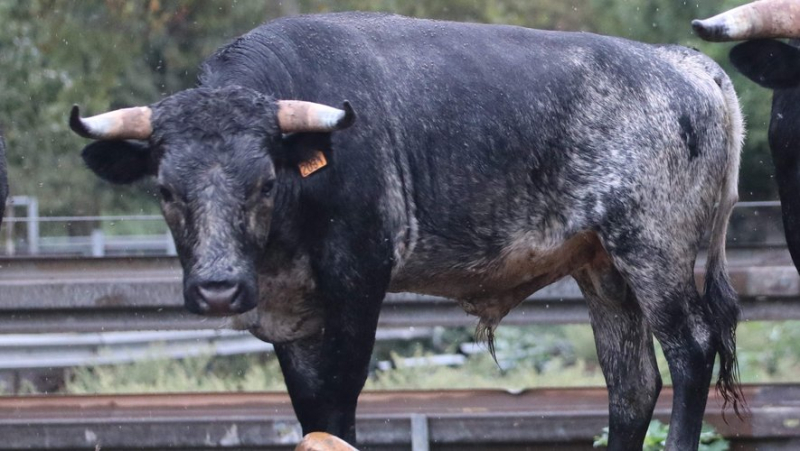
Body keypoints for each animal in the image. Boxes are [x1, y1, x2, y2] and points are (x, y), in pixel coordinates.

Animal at [70, 12, 744, 450]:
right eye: (165, 190)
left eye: (263, 183)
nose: (217, 290)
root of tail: (681, 62)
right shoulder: (292, 315)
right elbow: (311, 410)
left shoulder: (356, 283)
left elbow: (339, 407)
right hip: (603, 268)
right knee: (631, 384)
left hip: (652, 252)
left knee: (690, 351)